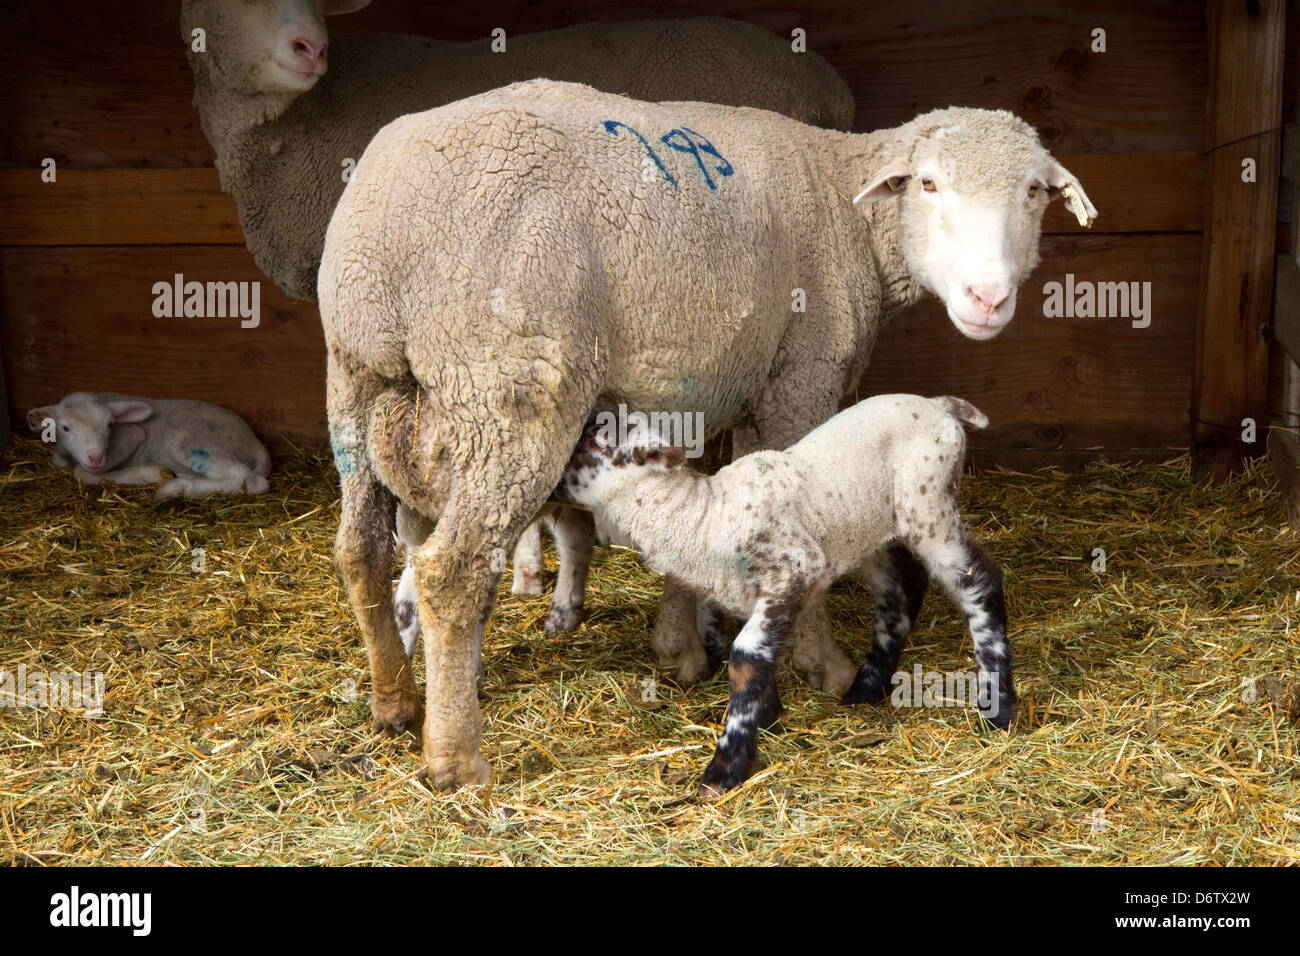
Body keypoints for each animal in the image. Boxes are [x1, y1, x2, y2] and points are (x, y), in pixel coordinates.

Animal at [26, 392, 271, 500]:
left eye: (110, 425)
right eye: (65, 428)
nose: (96, 458)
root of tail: (258, 445)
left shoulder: (131, 435)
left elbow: (81, 473)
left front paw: (152, 474)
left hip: (189, 439)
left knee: (248, 479)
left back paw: (176, 489)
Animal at [554, 394, 1016, 797]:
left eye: (596, 442)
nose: (553, 481)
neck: (705, 517)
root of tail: (940, 405)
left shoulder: (795, 569)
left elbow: (745, 658)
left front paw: (725, 769)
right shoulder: (749, 593)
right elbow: (761, 658)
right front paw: (767, 717)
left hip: (930, 505)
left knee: (981, 583)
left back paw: (999, 709)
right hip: (866, 528)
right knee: (902, 590)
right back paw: (866, 689)